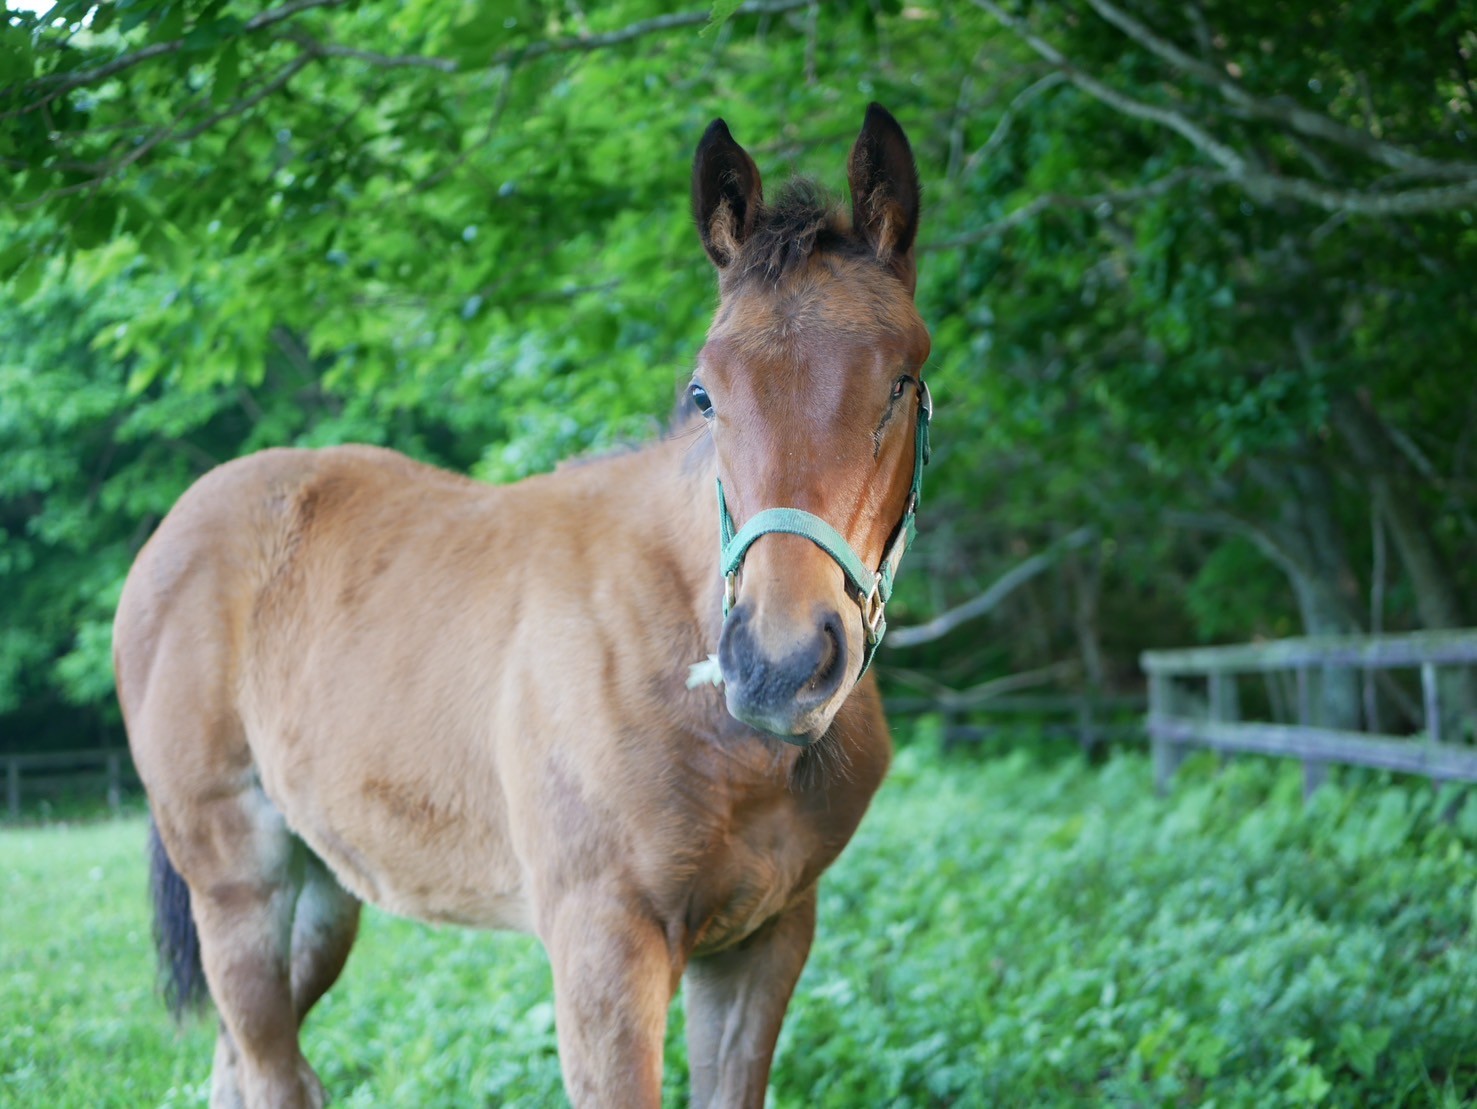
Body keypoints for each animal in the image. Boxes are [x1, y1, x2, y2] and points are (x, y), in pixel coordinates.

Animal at [115, 106, 927, 1109]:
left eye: (899, 383)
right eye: (705, 393)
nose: (777, 666)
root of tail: (174, 530)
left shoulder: (764, 939)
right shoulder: (601, 949)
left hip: (323, 890)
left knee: (240, 1061)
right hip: (238, 883)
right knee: (269, 1067)